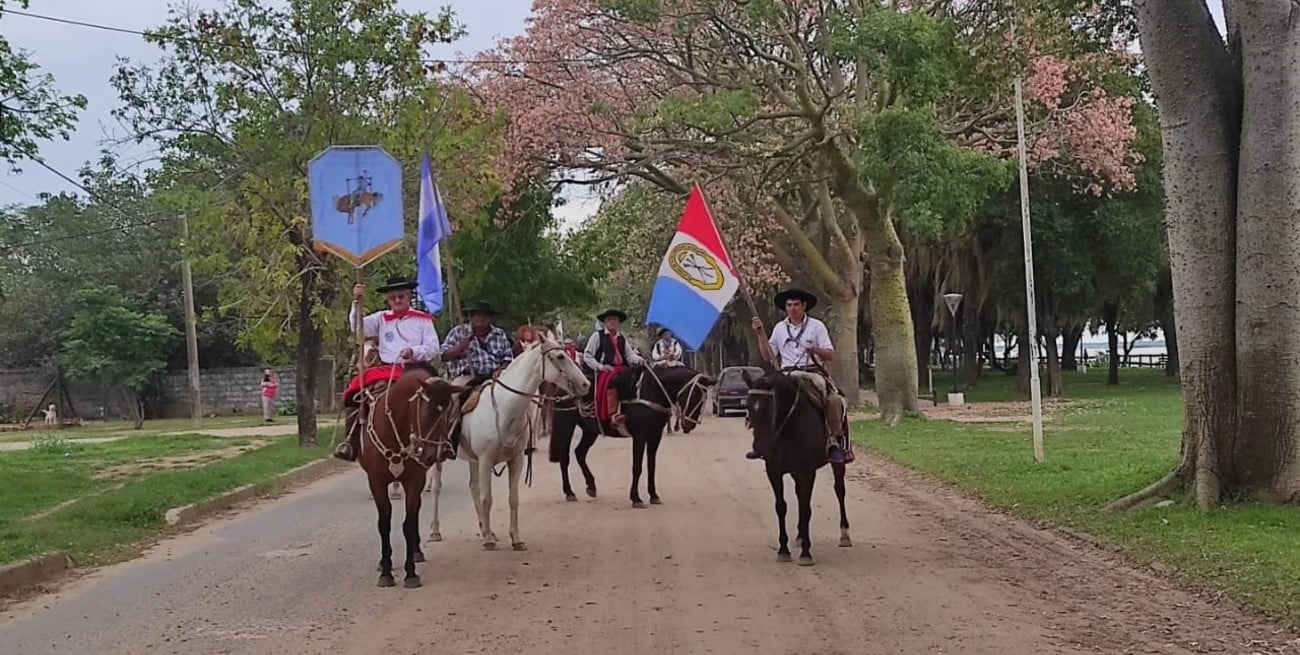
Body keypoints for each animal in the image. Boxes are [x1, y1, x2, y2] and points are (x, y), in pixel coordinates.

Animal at [356, 369, 467, 587]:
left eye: (449, 414)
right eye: (430, 410)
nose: (436, 453)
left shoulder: (415, 481)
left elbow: (408, 523)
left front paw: (411, 573)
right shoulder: (376, 481)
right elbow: (384, 524)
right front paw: (386, 572)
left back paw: (416, 552)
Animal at [426, 340, 590, 551]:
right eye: (560, 356)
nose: (586, 384)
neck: (505, 410)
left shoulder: (516, 459)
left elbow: (513, 498)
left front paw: (515, 538)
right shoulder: (486, 460)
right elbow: (487, 498)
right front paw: (488, 540)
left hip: (472, 459)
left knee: (473, 487)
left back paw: (485, 529)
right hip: (440, 455)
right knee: (437, 487)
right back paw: (436, 531)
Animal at [743, 371, 852, 566]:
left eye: (768, 407)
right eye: (747, 406)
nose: (760, 447)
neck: (789, 425)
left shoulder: (807, 472)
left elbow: (805, 508)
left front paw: (806, 554)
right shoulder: (774, 471)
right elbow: (781, 506)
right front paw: (783, 550)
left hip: (837, 463)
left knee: (839, 491)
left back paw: (844, 535)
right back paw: (800, 536)